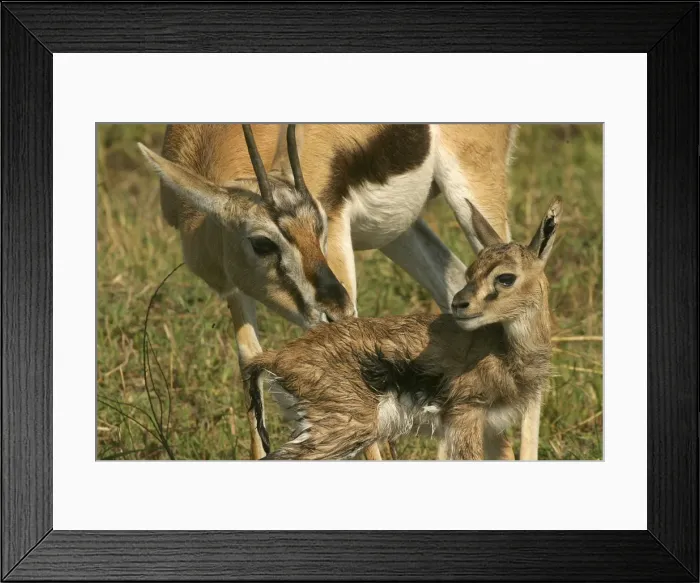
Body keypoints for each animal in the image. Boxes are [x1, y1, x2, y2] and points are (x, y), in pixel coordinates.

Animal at [244, 198, 562, 460]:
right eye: (471, 272)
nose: (459, 304)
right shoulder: (466, 417)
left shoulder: (489, 427)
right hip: (339, 432)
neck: (505, 353)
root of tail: (275, 357)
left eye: (505, 277)